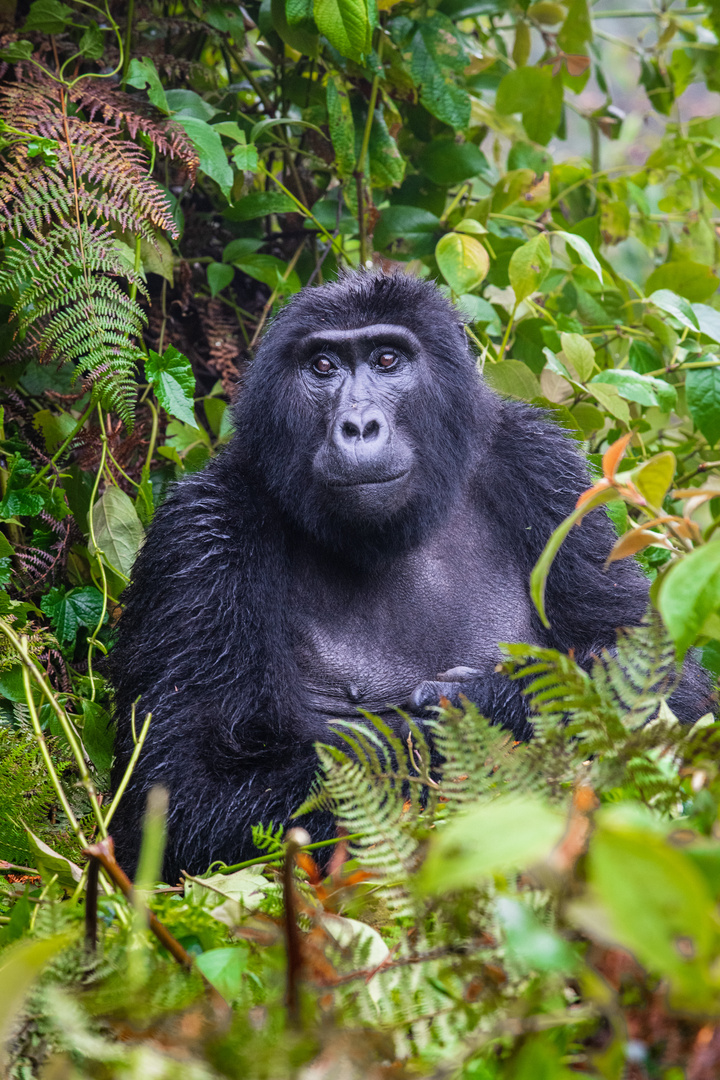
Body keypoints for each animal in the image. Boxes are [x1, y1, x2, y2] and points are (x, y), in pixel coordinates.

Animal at [111, 267, 716, 876]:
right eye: (323, 367)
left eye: (386, 360)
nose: (358, 425)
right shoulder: (202, 530)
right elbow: (181, 792)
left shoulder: (545, 467)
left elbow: (661, 681)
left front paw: (486, 705)